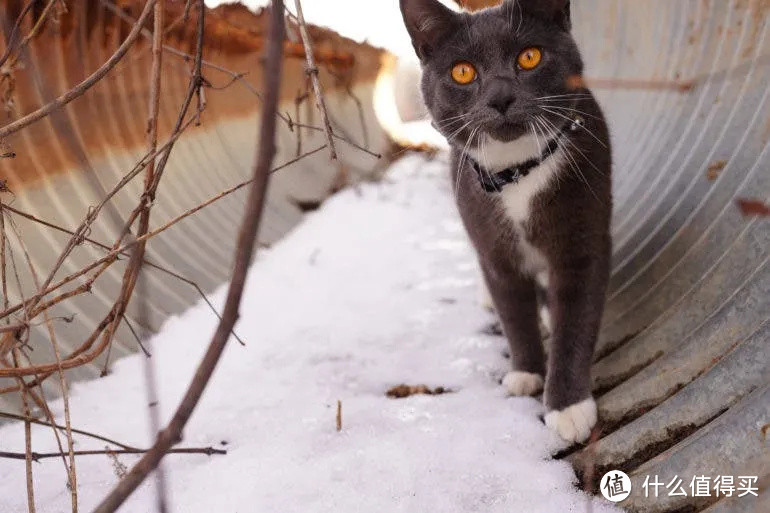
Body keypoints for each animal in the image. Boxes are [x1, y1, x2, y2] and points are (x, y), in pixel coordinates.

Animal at [400, 0, 608, 442]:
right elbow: (512, 311)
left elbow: (576, 319)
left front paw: (568, 407)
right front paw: (526, 372)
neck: (517, 171)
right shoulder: (492, 246)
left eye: (529, 57)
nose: (500, 96)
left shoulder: (583, 239)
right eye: (462, 71)